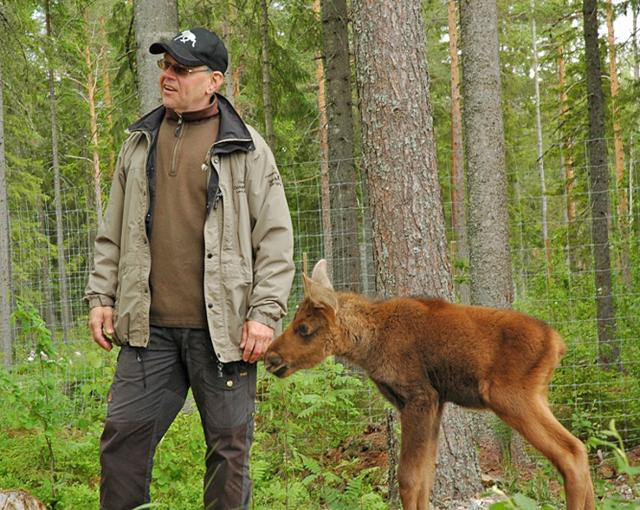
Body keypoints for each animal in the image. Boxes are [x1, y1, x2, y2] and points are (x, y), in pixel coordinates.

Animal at [264, 260, 596, 510]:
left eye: (303, 328)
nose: (269, 357)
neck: (369, 346)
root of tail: (558, 344)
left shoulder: (419, 397)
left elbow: (408, 478)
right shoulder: (436, 402)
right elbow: (425, 478)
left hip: (510, 396)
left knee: (570, 452)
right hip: (536, 396)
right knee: (580, 449)